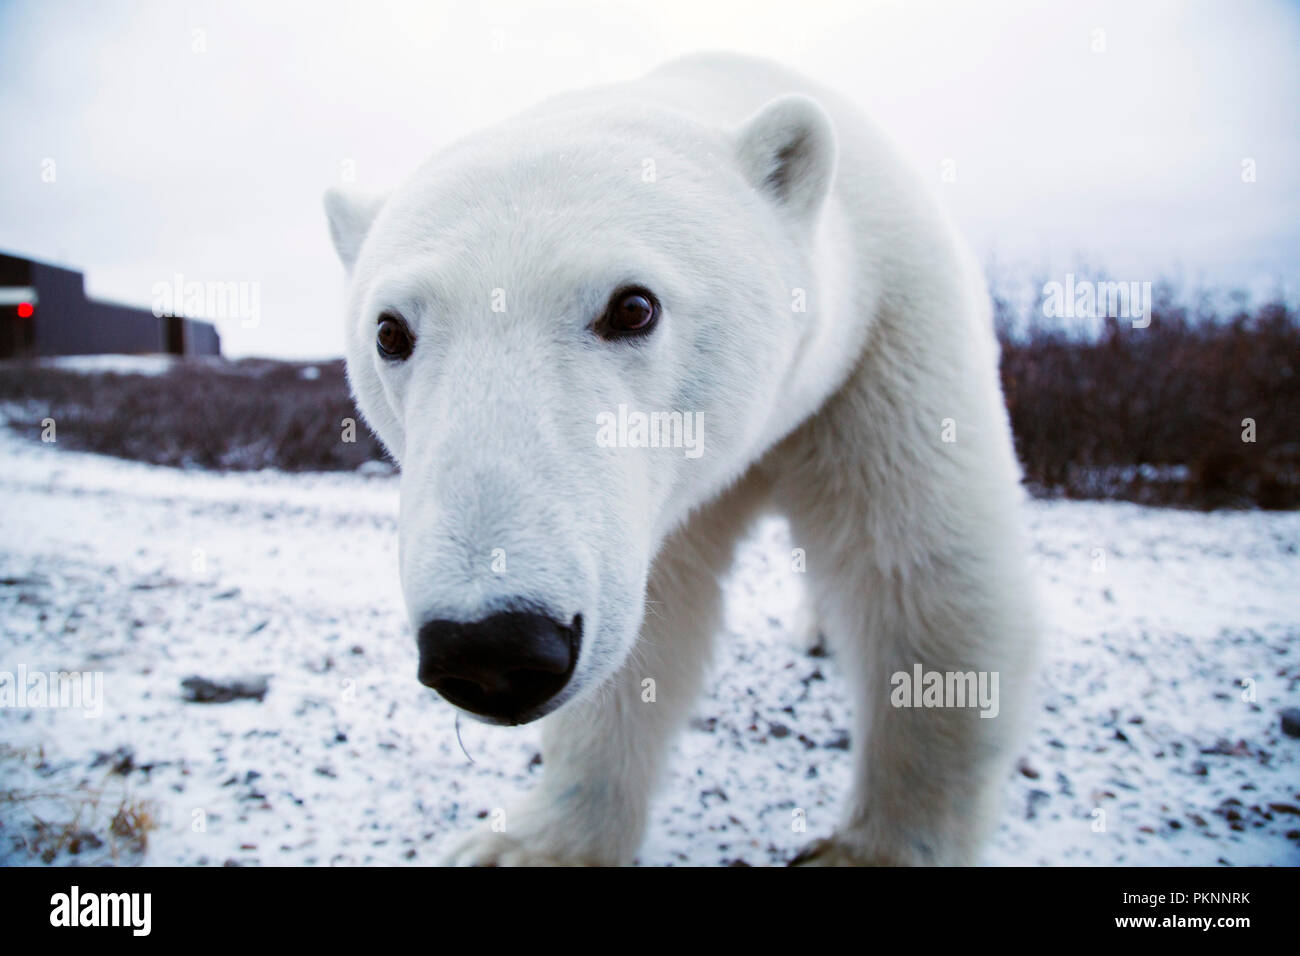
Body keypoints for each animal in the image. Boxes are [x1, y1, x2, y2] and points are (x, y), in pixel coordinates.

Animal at [330, 50, 1040, 868]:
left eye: (633, 306)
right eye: (390, 331)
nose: (491, 647)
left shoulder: (886, 341)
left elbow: (927, 579)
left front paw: (872, 850)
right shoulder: (638, 508)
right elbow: (648, 625)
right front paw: (531, 844)